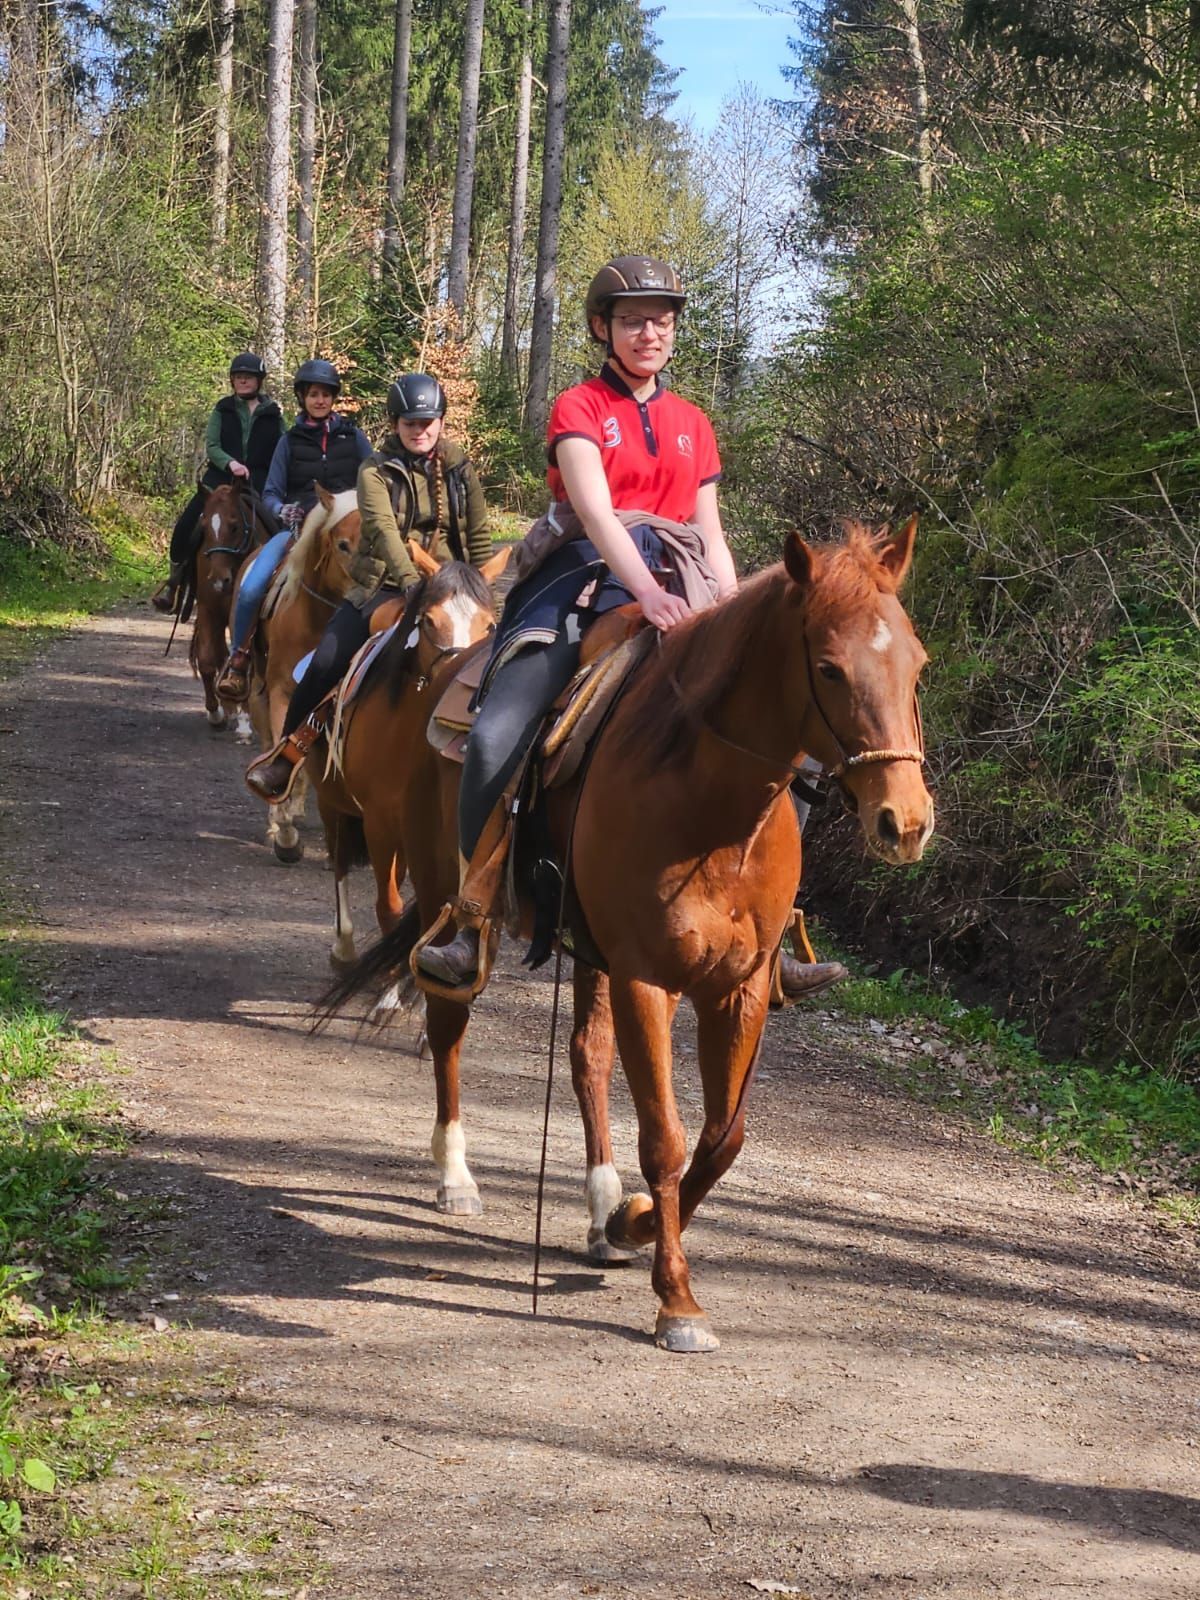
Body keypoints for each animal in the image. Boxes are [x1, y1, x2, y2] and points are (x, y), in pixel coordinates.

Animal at [188, 482, 272, 735]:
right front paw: (215, 713)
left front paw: (244, 717)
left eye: (234, 526)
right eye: (204, 526)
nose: (219, 581)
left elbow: (247, 664)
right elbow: (207, 661)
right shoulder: (209, 611)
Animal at [308, 562, 496, 1012]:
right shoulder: (378, 824)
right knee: (340, 860)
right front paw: (391, 992)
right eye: (428, 621)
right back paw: (344, 950)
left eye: (490, 624)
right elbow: (390, 908)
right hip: (333, 803)